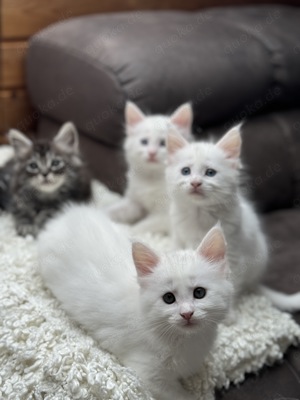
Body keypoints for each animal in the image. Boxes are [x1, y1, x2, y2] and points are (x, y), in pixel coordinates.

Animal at [37, 205, 233, 400]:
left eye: (199, 293)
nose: (187, 314)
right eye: (168, 298)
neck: (185, 340)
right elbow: (182, 396)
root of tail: (66, 214)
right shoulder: (149, 374)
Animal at [107, 101, 192, 236]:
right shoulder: (134, 200)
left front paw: (127, 232)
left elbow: (141, 226)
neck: (151, 179)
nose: (152, 153)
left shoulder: (164, 216)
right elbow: (114, 209)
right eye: (144, 142)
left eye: (163, 143)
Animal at [165, 126, 300, 318]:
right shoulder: (179, 238)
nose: (195, 183)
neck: (199, 214)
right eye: (185, 171)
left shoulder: (232, 253)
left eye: (210, 173)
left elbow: (229, 285)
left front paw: (227, 316)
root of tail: (255, 281)